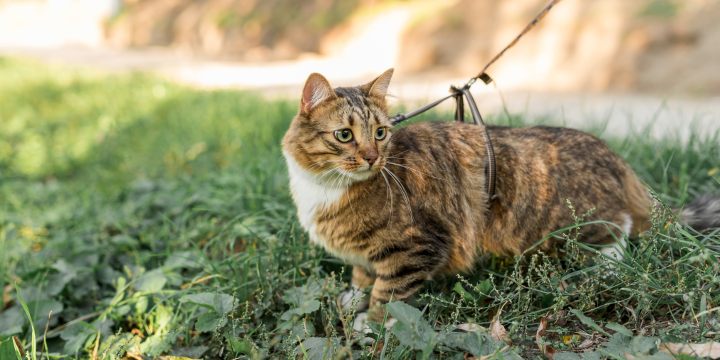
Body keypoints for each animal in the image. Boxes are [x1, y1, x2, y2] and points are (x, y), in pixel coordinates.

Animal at [280, 67, 720, 324]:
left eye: (380, 133)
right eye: (344, 135)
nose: (373, 157)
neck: (324, 187)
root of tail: (614, 156)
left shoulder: (417, 246)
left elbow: (386, 296)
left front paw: (367, 326)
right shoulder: (367, 252)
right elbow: (361, 277)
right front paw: (351, 299)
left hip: (576, 224)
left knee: (619, 233)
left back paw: (603, 270)